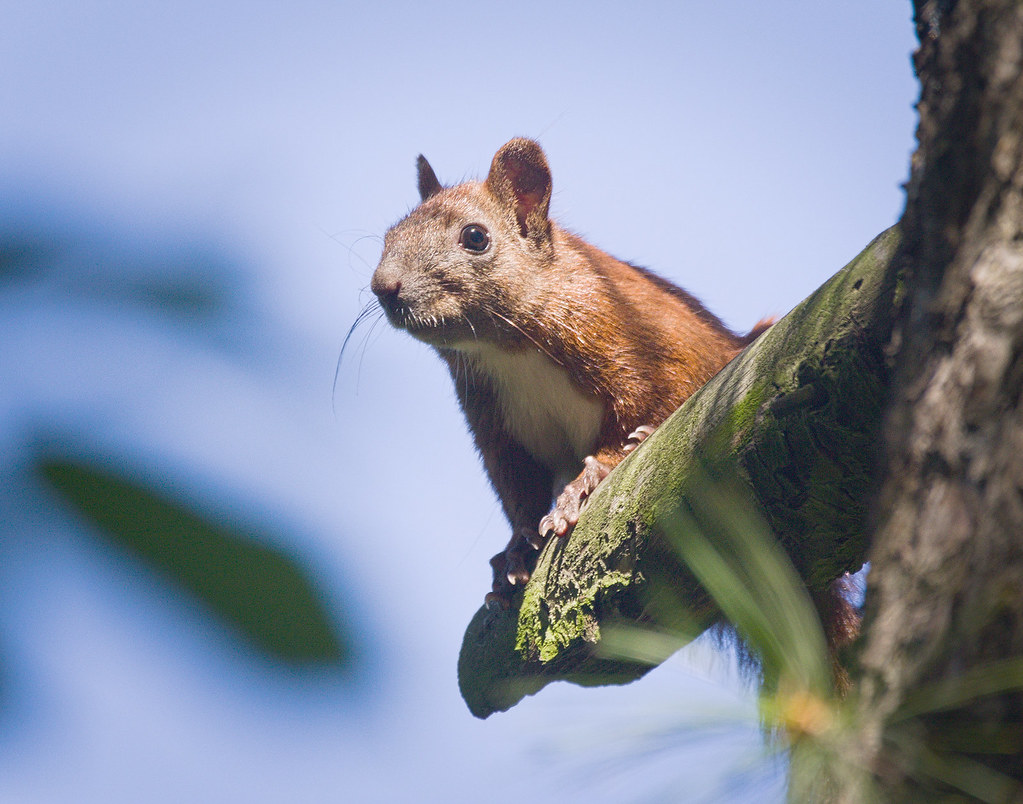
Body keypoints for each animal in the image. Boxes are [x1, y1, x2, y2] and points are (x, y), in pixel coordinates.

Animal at [371, 138, 772, 606]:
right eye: (390, 236)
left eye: (475, 237)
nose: (383, 287)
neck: (508, 351)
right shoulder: (494, 424)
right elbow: (517, 485)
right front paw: (516, 548)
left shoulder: (641, 340)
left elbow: (654, 401)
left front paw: (592, 475)